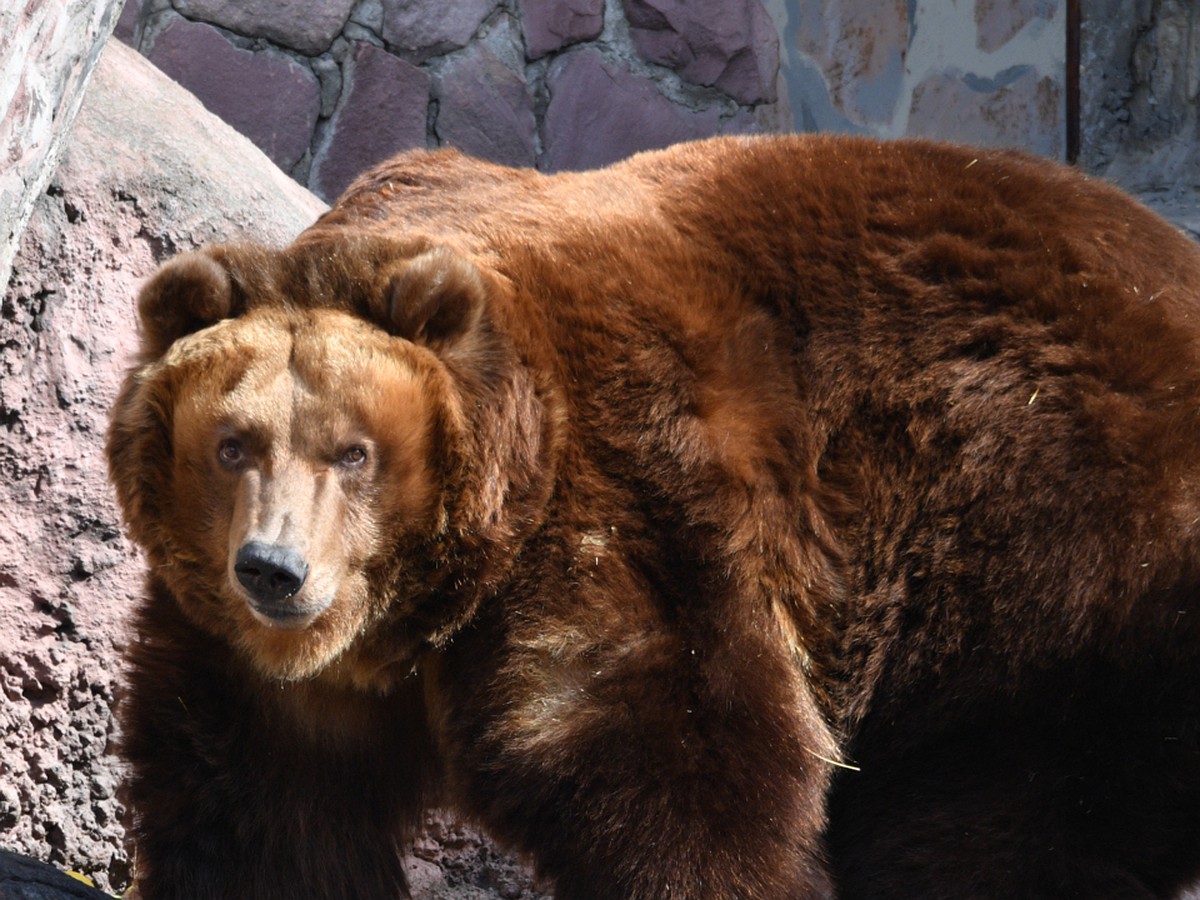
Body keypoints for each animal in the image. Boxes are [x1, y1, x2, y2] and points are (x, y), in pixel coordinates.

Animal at [105, 135, 1200, 900]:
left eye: (354, 453)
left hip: (1051, 571)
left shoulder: (628, 510)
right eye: (233, 444)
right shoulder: (265, 679)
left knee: (1002, 818)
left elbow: (692, 783)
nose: (274, 569)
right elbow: (258, 816)